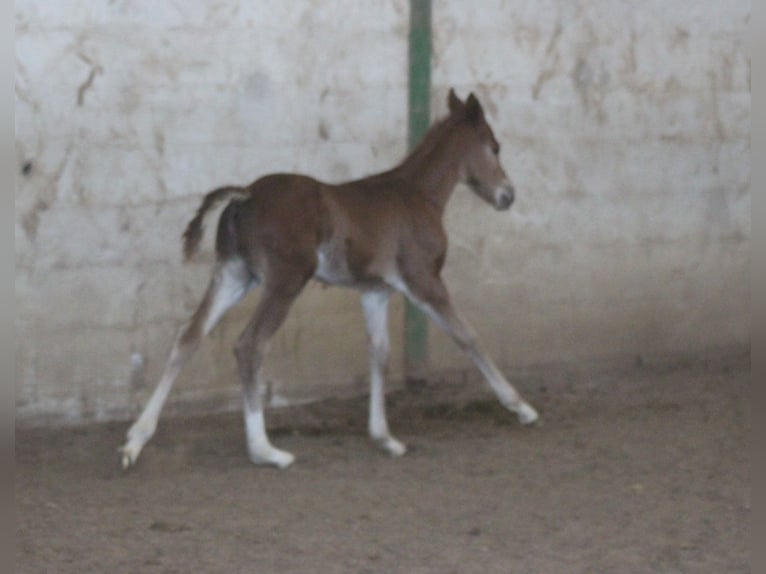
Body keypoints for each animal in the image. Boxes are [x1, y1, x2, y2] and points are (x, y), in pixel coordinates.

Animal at [120, 89, 539, 469]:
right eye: (494, 147)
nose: (508, 195)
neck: (417, 196)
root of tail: (245, 195)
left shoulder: (375, 291)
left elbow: (379, 353)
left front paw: (384, 438)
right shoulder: (425, 282)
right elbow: (468, 336)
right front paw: (522, 408)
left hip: (233, 276)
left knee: (189, 335)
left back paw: (135, 441)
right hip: (285, 282)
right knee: (250, 345)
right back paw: (265, 451)